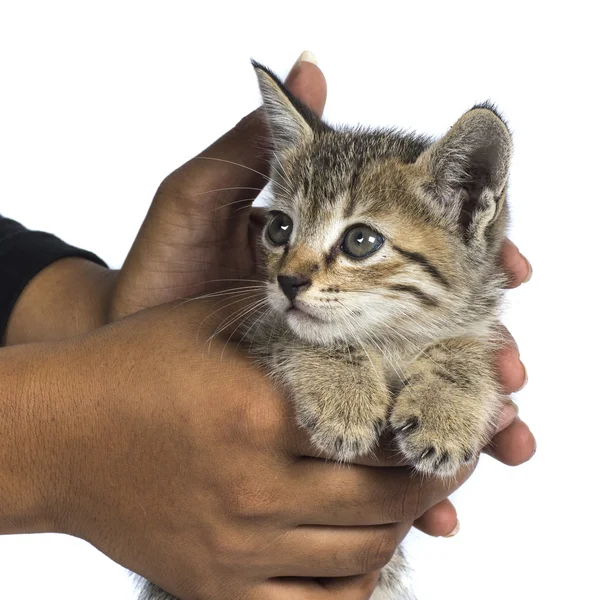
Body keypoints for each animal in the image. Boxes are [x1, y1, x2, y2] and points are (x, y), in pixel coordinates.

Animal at [138, 61, 512, 600]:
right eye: (279, 228)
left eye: (360, 240)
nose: (287, 281)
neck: (390, 336)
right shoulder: (257, 321)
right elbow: (300, 333)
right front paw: (346, 398)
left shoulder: (475, 314)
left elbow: (463, 345)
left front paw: (447, 410)